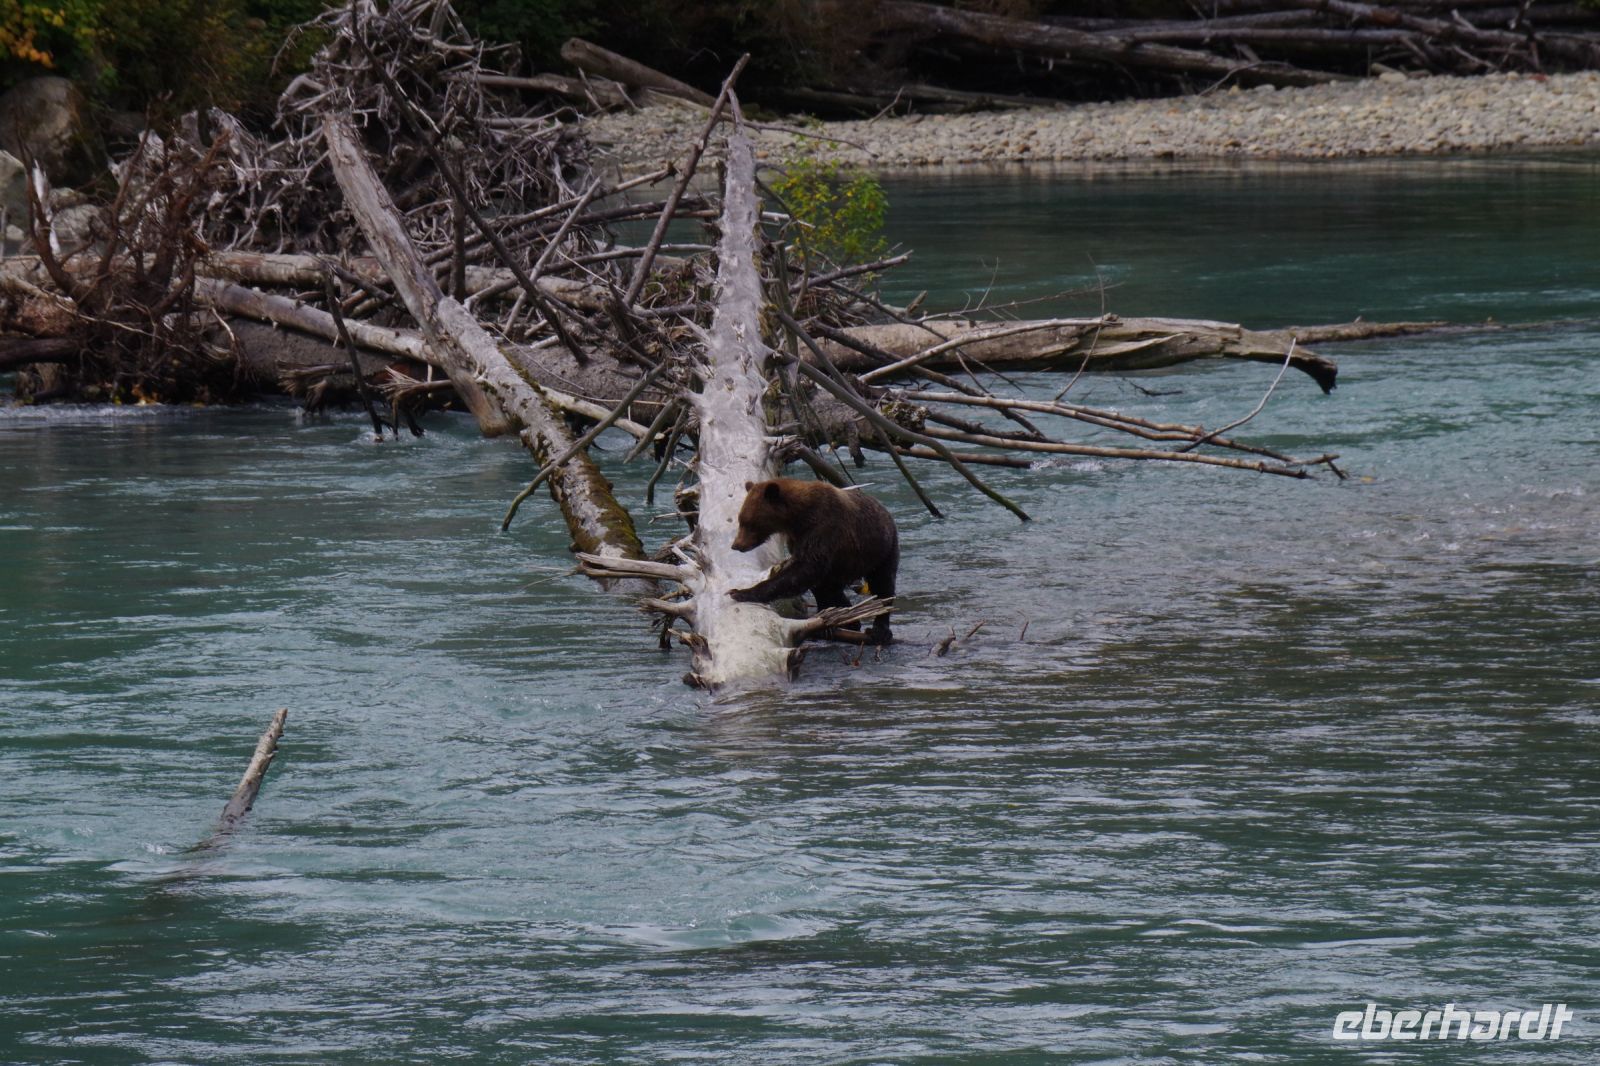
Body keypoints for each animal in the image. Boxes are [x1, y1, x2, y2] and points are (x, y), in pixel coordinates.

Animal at [728, 478, 899, 644]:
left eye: (749, 523)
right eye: (740, 519)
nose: (736, 545)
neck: (797, 518)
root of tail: (884, 510)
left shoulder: (823, 530)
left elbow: (804, 569)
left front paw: (740, 592)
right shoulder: (798, 540)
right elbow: (807, 575)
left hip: (881, 549)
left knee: (883, 584)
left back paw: (879, 629)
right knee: (829, 587)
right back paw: (842, 619)